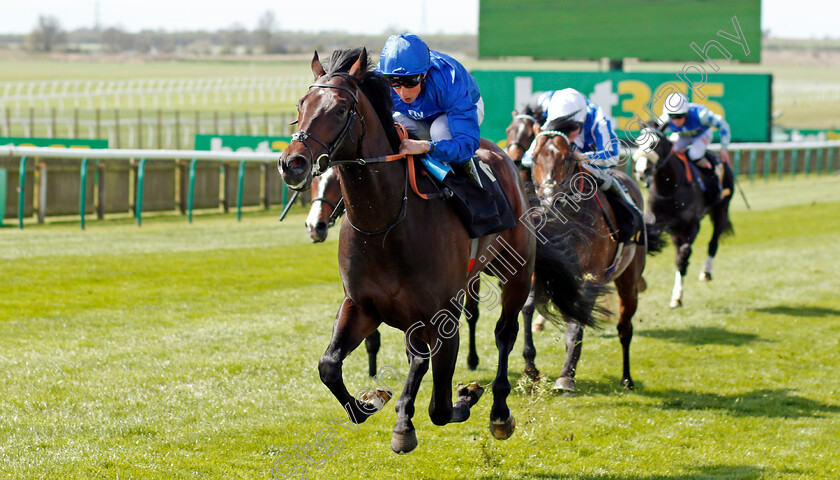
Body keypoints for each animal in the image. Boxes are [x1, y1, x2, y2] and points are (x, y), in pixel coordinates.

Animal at [528, 119, 668, 390]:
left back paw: (626, 377)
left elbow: (576, 326)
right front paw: (531, 367)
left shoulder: (591, 276)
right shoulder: (543, 270)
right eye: (535, 156)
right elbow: (527, 308)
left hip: (628, 280)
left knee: (625, 327)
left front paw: (566, 377)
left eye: (565, 157)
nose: (549, 200)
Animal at [632, 124, 732, 308]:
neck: (670, 188)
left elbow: (682, 256)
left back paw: (706, 272)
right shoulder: (661, 224)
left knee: (713, 242)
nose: (641, 171)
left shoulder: (690, 225)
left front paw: (677, 296)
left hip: (721, 209)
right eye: (638, 142)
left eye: (655, 144)